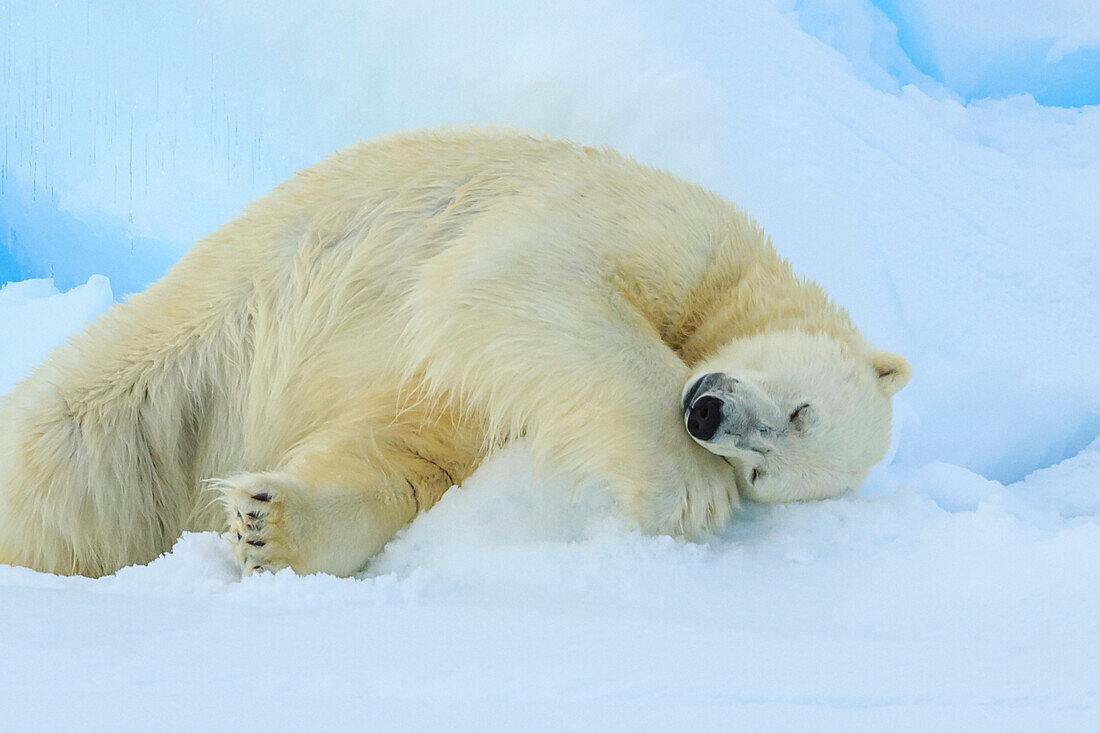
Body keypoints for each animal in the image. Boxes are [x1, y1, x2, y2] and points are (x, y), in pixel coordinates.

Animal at [0, 127, 910, 576]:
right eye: (801, 409)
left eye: (764, 470)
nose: (708, 414)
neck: (735, 288)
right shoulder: (667, 226)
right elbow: (520, 275)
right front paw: (687, 491)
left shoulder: (483, 408)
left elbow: (405, 455)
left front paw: (268, 522)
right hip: (193, 345)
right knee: (62, 444)